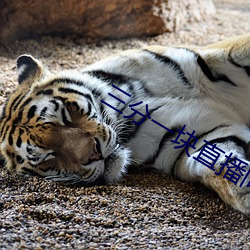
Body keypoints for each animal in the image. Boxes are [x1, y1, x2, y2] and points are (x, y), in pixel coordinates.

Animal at [0, 32, 250, 214]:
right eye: (48, 157)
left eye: (65, 116)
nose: (95, 153)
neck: (126, 107)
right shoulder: (189, 136)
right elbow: (216, 162)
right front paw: (244, 189)